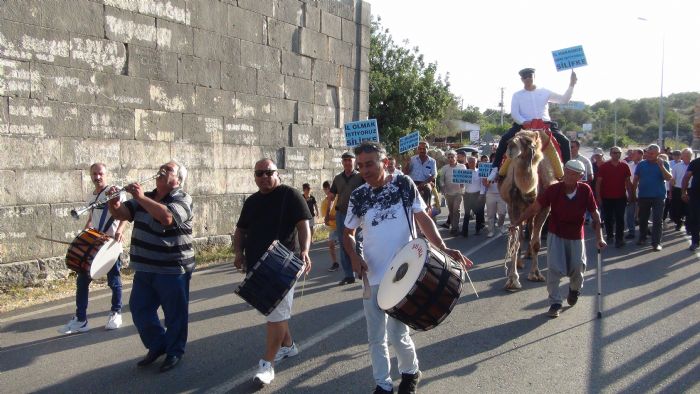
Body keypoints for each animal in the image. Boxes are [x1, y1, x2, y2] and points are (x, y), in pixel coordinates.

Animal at [498, 129, 564, 290]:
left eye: (529, 142)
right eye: (512, 138)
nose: (511, 146)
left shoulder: (544, 208)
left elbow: (536, 243)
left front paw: (535, 274)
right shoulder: (513, 207)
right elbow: (515, 241)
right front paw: (513, 279)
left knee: (531, 227)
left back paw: (527, 255)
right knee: (522, 234)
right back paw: (520, 262)